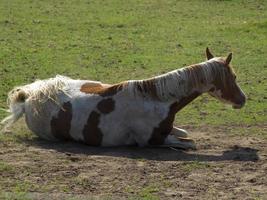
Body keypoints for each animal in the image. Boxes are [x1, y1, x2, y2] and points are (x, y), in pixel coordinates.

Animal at [0, 48, 247, 148]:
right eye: (233, 76)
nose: (243, 99)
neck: (156, 100)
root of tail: (30, 96)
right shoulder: (152, 141)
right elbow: (191, 143)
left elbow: (185, 133)